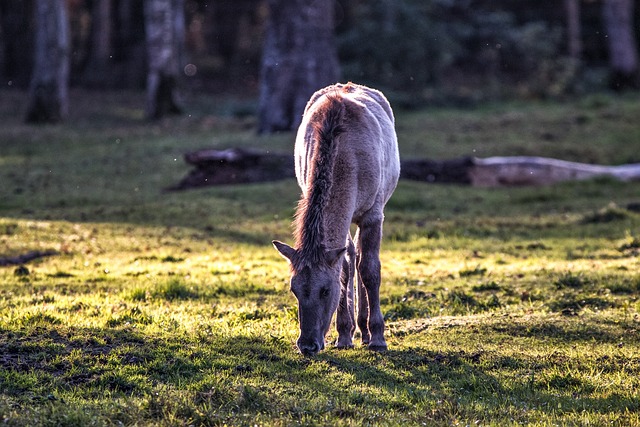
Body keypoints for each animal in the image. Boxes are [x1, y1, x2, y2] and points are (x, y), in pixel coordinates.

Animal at [272, 82, 400, 356]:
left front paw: (378, 338)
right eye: (293, 288)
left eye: (325, 290)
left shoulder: (373, 213)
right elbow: (344, 268)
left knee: (361, 259)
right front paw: (343, 335)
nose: (307, 345)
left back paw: (366, 332)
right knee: (351, 255)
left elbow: (371, 270)